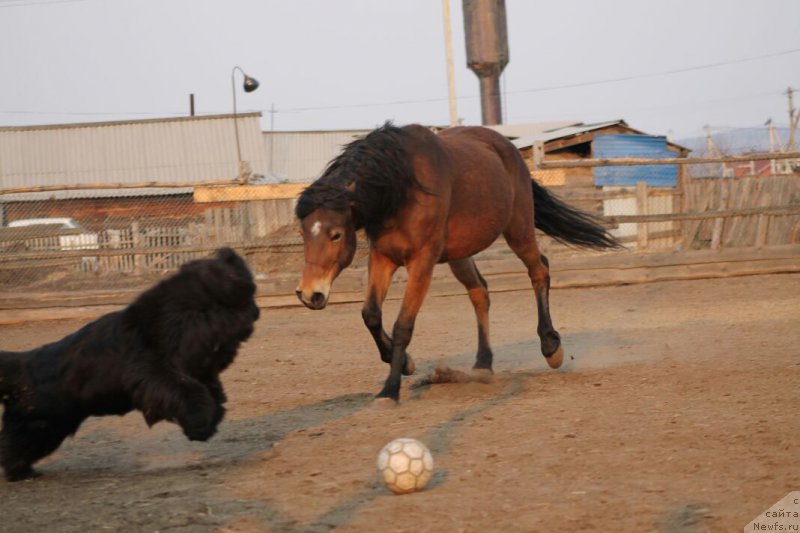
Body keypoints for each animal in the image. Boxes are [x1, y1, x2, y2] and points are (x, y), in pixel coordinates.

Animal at [0, 247, 258, 480]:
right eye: (241, 296)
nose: (256, 311)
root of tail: (23, 366)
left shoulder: (195, 372)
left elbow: (209, 393)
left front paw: (211, 419)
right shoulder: (155, 375)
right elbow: (189, 393)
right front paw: (200, 426)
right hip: (40, 426)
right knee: (13, 448)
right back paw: (20, 473)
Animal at [296, 122, 616, 402]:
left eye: (336, 234)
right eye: (303, 232)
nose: (309, 294)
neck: (401, 189)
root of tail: (509, 150)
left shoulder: (422, 263)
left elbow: (403, 326)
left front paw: (390, 390)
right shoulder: (383, 257)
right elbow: (371, 315)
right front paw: (405, 363)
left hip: (518, 228)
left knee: (539, 270)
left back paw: (551, 348)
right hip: (461, 254)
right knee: (480, 292)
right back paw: (483, 364)